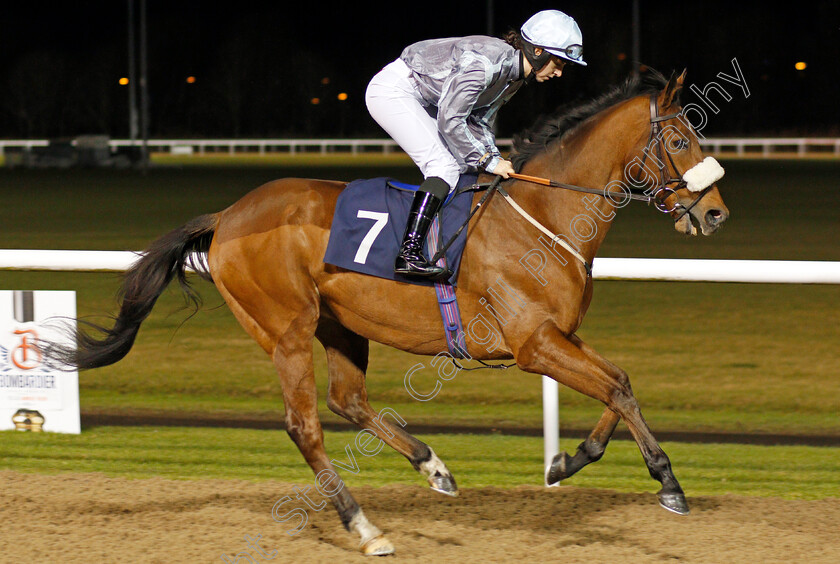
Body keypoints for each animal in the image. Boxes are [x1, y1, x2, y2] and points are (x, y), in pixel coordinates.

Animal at [47, 70, 728, 556]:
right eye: (679, 138)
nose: (715, 213)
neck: (543, 217)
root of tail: (227, 216)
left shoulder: (558, 335)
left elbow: (620, 385)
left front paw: (567, 462)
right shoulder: (534, 343)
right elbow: (614, 388)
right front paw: (668, 483)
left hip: (341, 326)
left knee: (347, 400)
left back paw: (433, 466)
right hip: (285, 330)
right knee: (305, 425)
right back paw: (364, 526)